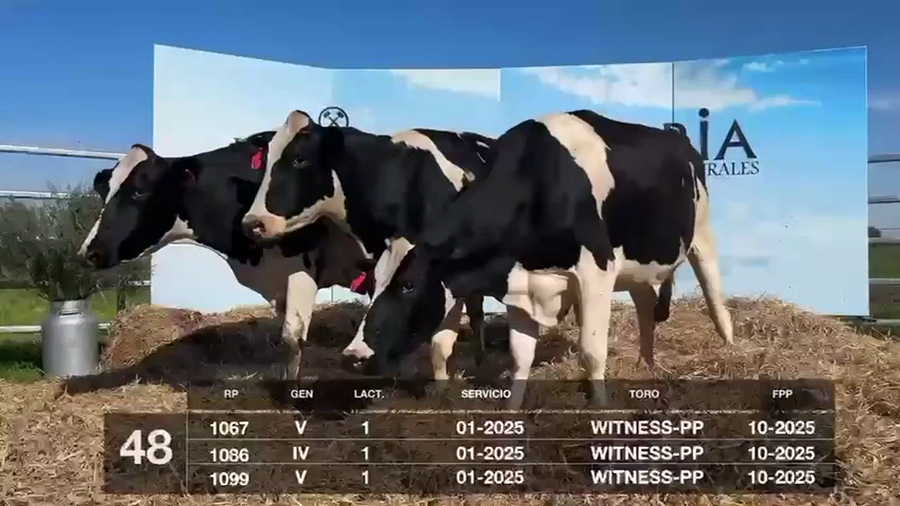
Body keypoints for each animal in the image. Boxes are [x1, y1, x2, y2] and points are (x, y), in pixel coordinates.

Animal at [77, 132, 373, 381]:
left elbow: (293, 338)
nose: (89, 252)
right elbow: (285, 343)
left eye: (139, 191)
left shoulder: (301, 270)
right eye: (104, 193)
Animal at [353, 110, 735, 410]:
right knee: (644, 306)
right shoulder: (519, 282)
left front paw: (601, 409)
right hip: (637, 265)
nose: (354, 354)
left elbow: (591, 350)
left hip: (701, 235)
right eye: (373, 283)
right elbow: (520, 356)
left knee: (716, 300)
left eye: (408, 284)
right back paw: (646, 364)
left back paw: (732, 352)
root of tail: (678, 139)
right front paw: (511, 413)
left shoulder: (596, 269)